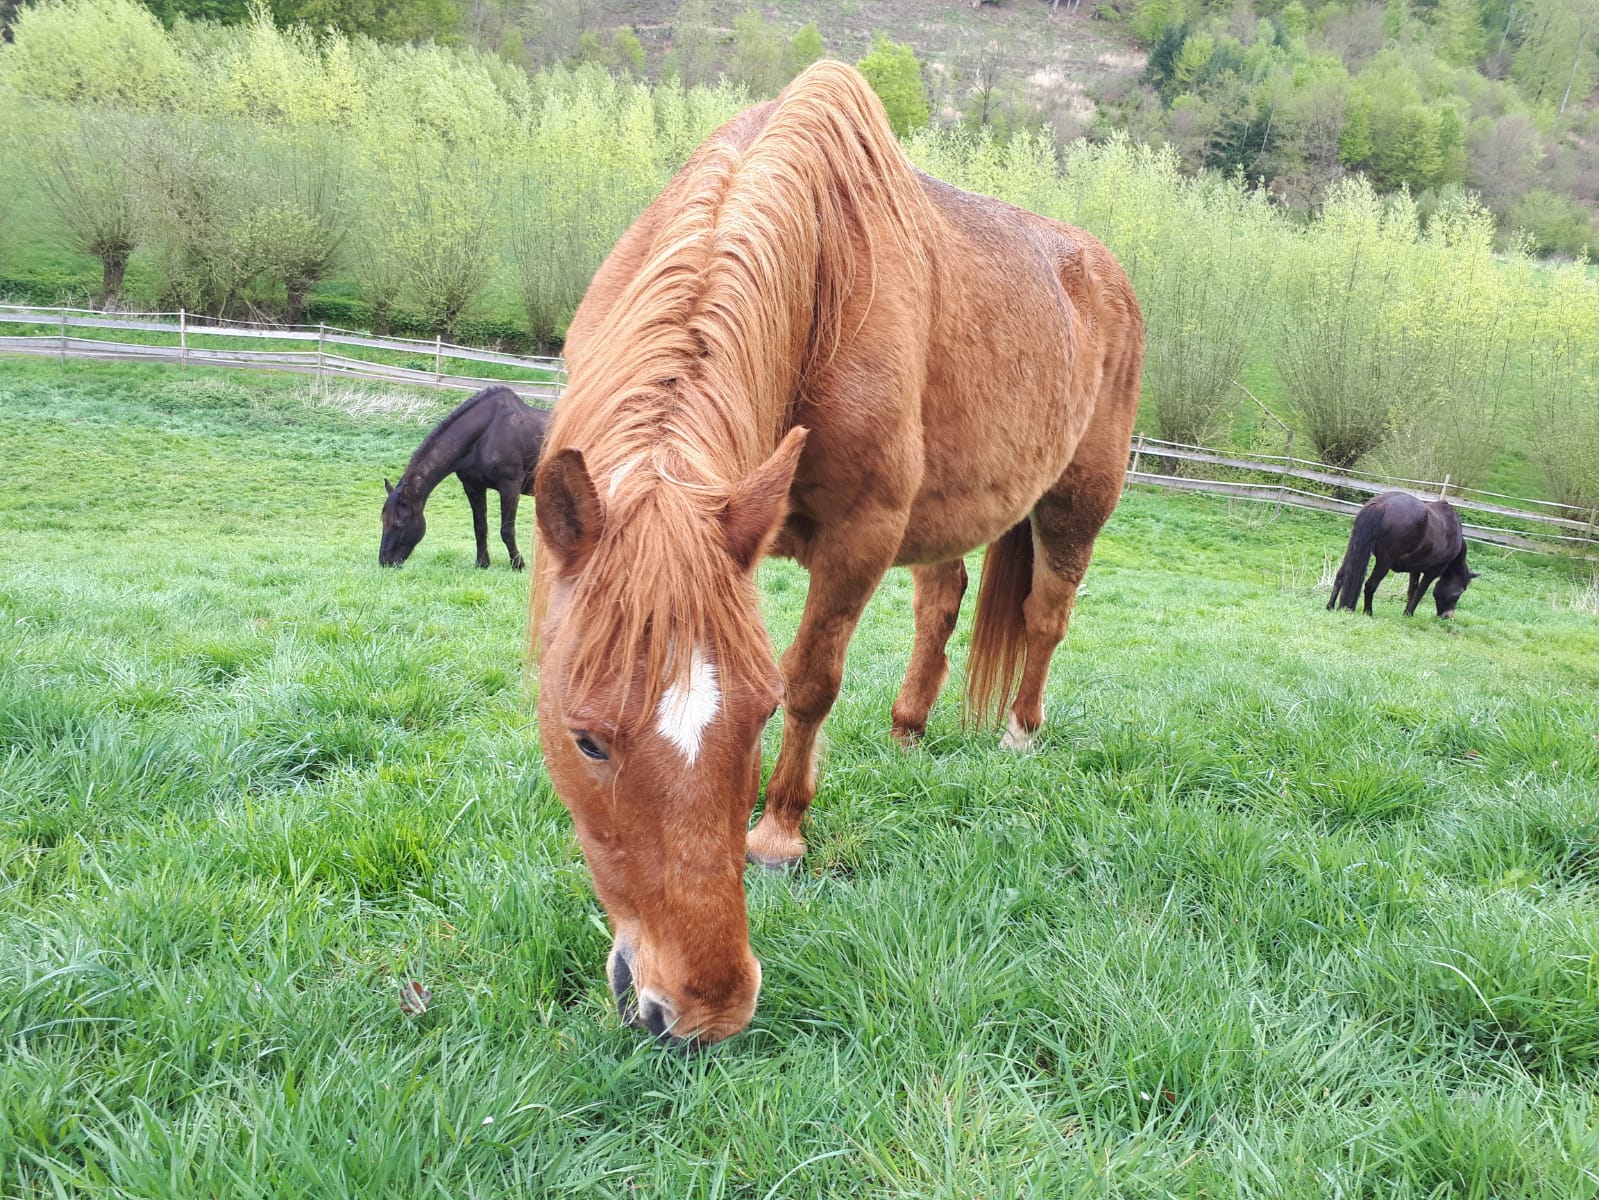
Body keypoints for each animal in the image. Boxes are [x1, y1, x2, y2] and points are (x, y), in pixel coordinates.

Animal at [378, 387, 550, 569]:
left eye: (398, 524)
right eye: (383, 520)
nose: (385, 561)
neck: (487, 434)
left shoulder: (510, 487)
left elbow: (507, 530)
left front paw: (518, 564)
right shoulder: (473, 487)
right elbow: (480, 527)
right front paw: (482, 563)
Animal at [530, 61, 1144, 1049]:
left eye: (755, 717)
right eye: (584, 739)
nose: (703, 1010)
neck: (818, 275)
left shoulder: (860, 535)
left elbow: (813, 679)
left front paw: (778, 833)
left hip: (1072, 509)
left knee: (1045, 620)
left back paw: (1018, 733)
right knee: (943, 599)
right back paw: (907, 729)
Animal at [1323, 489, 1471, 614]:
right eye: (1459, 592)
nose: (1448, 616)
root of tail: (1381, 503)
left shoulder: (1415, 570)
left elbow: (1412, 591)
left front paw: (1406, 613)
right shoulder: (1432, 572)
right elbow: (1419, 592)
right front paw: (1409, 613)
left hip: (1353, 548)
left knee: (1341, 575)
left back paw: (1330, 606)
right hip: (1385, 561)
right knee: (1371, 584)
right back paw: (1368, 612)